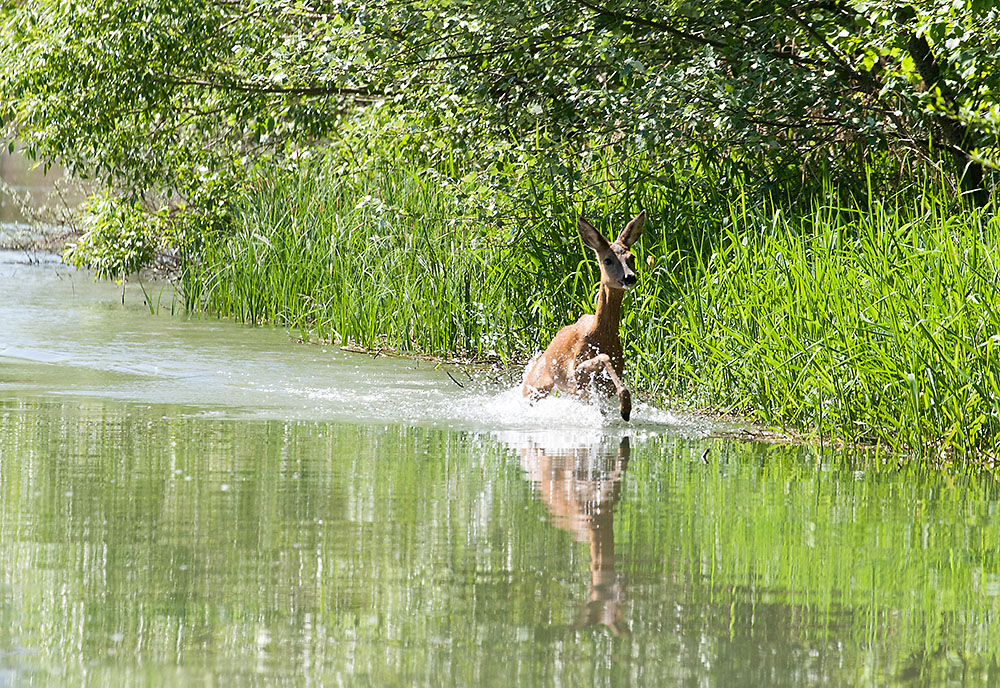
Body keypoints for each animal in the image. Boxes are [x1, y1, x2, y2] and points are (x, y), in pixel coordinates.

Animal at [520, 212, 644, 422]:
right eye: (608, 260)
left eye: (631, 257)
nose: (630, 277)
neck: (601, 335)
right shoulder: (574, 375)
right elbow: (603, 357)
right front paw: (625, 408)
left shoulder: (602, 389)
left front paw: (624, 408)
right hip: (535, 386)